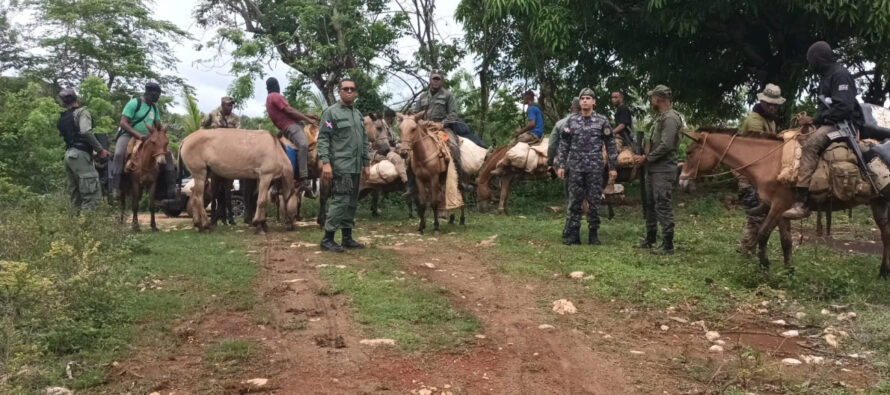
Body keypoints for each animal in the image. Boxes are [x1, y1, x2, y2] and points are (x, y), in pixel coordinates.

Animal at [672, 132, 888, 278]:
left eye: (690, 152)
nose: (682, 182)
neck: (767, 161)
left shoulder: (778, 205)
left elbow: (763, 234)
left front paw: (764, 265)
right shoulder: (783, 210)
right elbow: (786, 241)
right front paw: (788, 271)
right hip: (879, 203)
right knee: (886, 235)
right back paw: (883, 272)